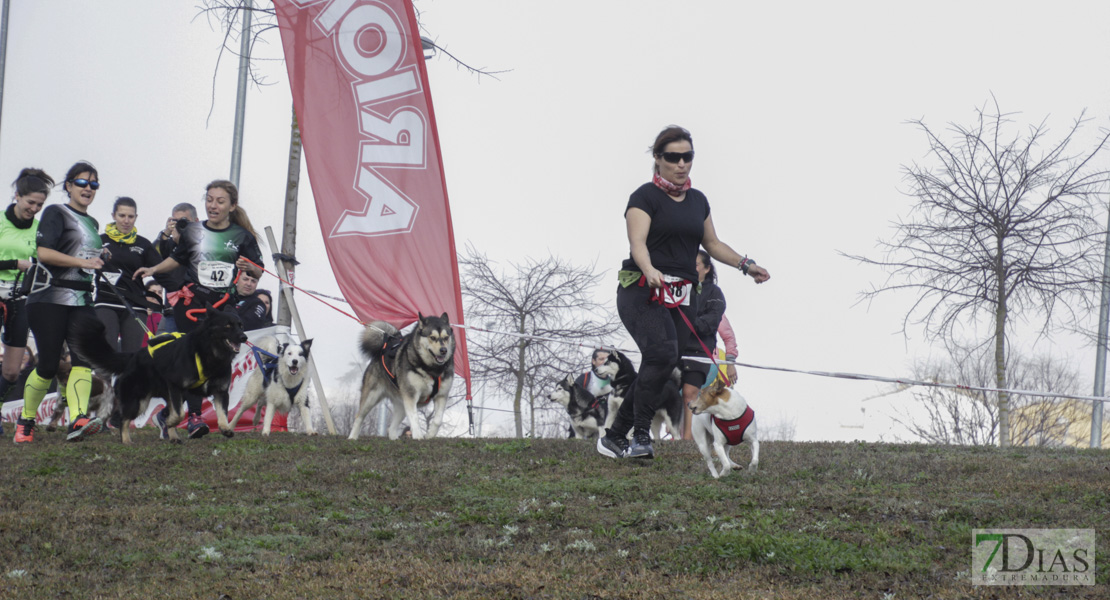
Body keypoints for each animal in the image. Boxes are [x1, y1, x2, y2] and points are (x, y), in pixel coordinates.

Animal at [72, 306, 248, 441]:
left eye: (241, 325)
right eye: (227, 326)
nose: (244, 337)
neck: (210, 353)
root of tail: (133, 356)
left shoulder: (220, 392)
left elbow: (222, 413)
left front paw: (225, 428)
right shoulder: (176, 386)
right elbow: (179, 414)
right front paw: (170, 423)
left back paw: (173, 437)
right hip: (138, 401)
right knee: (123, 419)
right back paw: (126, 441)